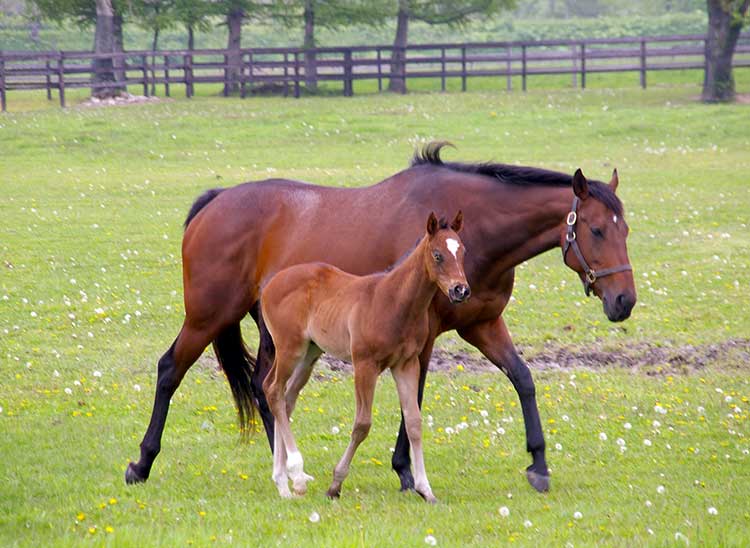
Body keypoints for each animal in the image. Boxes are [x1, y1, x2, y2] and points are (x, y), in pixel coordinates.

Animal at [262, 210, 468, 500]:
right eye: (437, 254)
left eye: (462, 251)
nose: (461, 290)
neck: (394, 301)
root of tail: (271, 284)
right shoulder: (364, 365)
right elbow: (362, 424)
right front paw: (335, 484)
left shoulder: (406, 364)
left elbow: (414, 423)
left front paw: (425, 489)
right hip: (290, 348)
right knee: (272, 390)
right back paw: (296, 474)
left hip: (310, 353)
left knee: (286, 397)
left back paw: (283, 482)